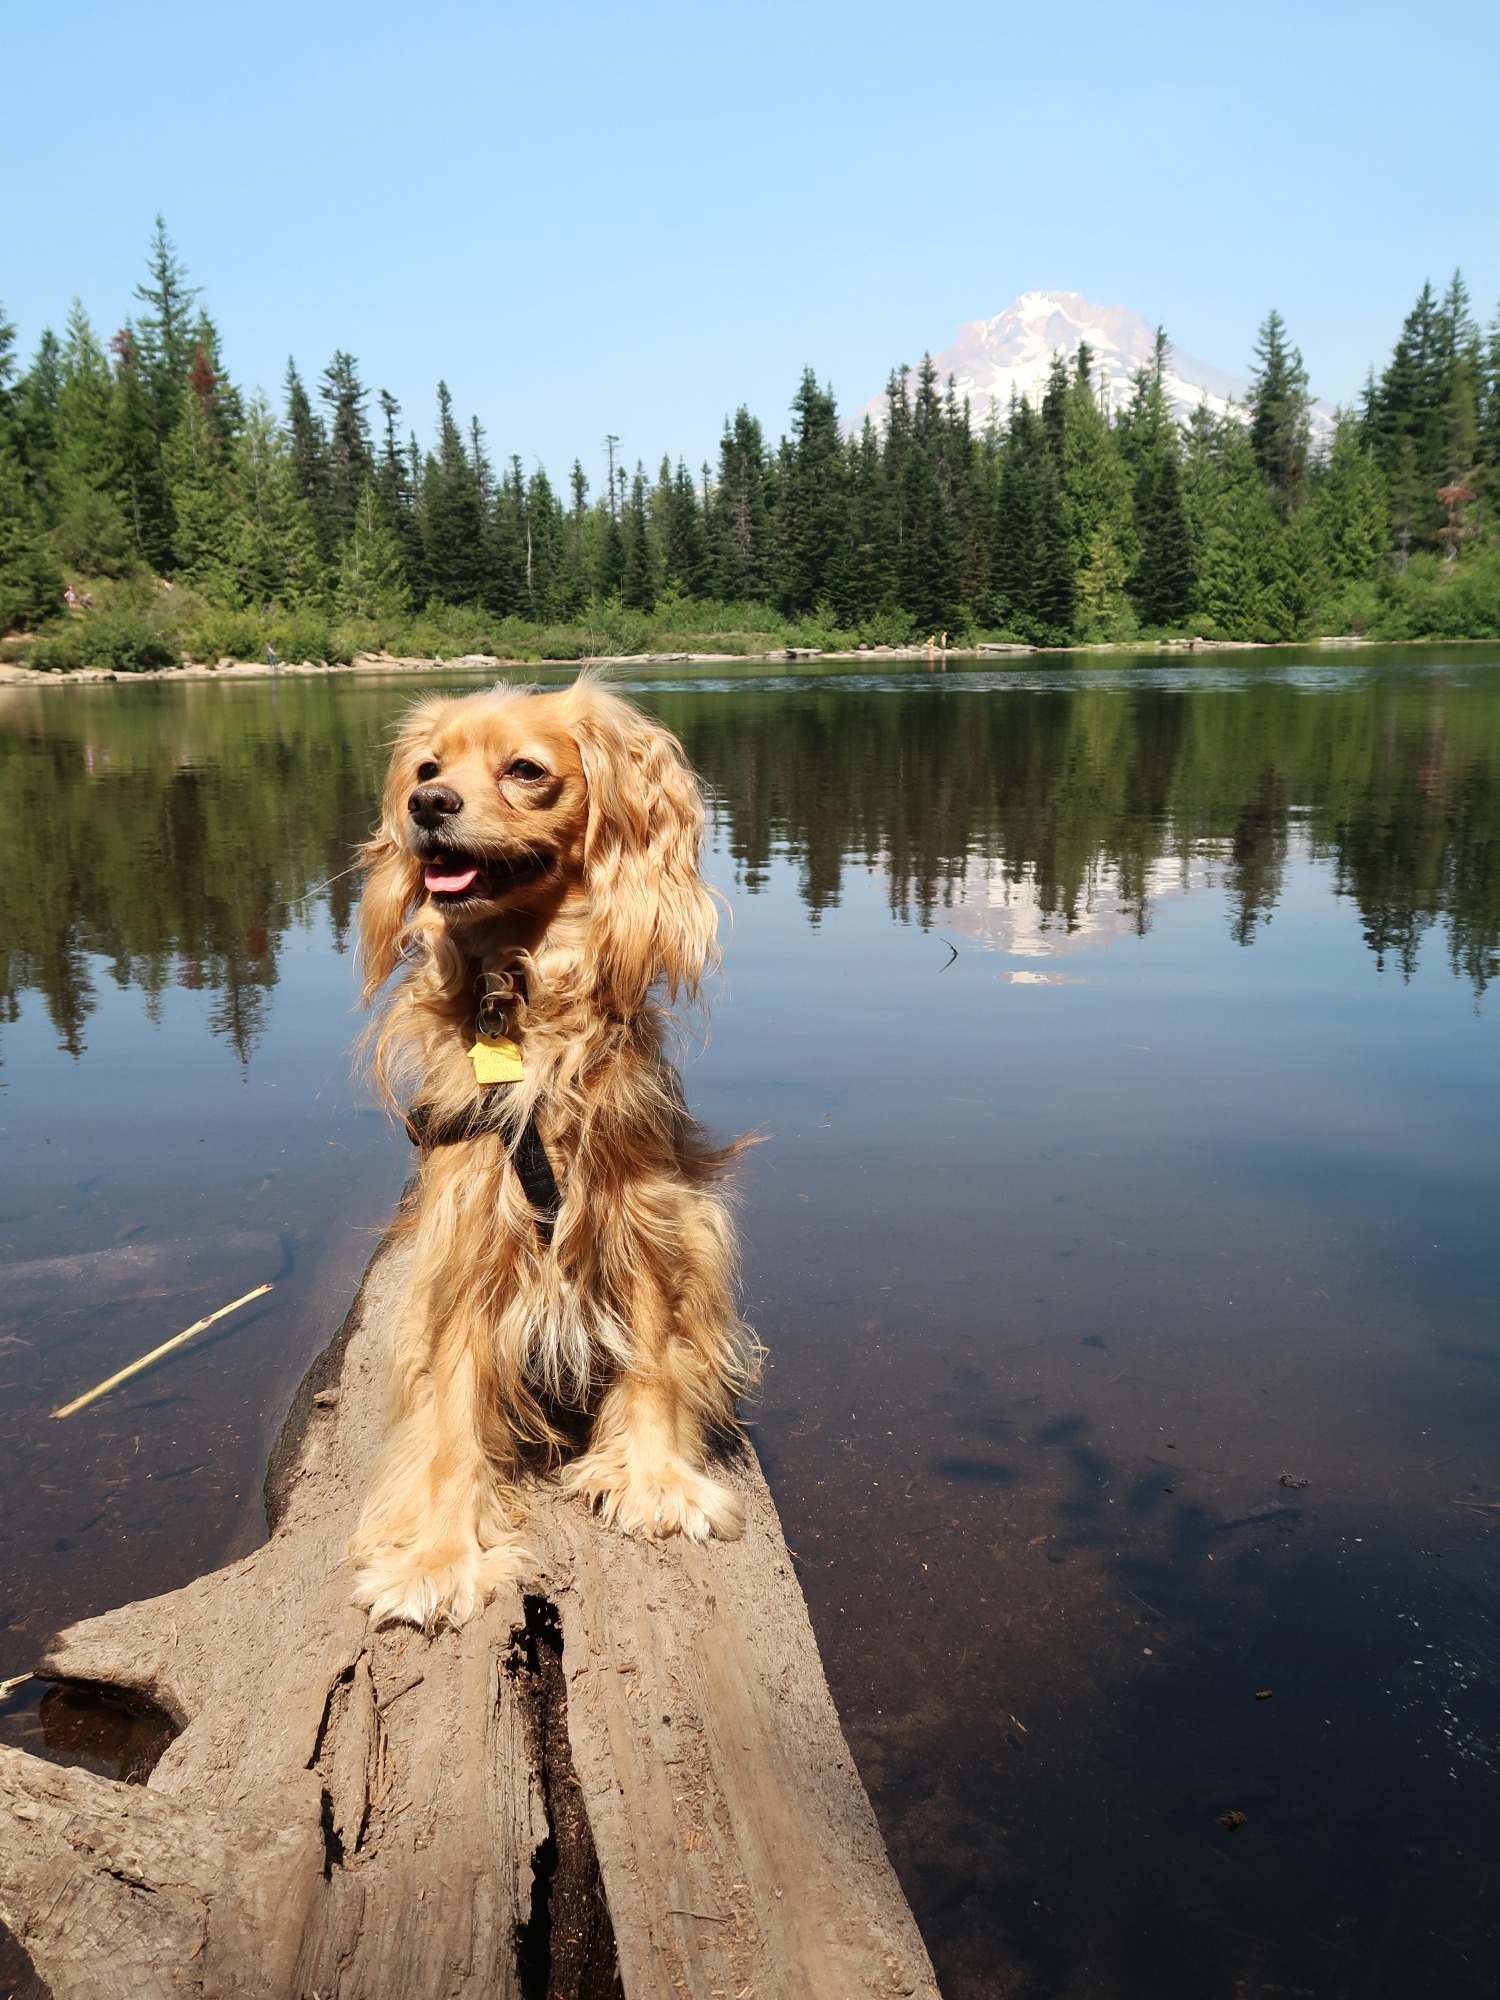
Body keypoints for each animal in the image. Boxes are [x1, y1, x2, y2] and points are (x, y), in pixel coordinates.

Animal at [346, 680, 756, 1632]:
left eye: (526, 771)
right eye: (426, 769)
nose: (427, 806)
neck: (524, 990)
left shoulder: (645, 1212)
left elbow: (653, 1352)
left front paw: (654, 1480)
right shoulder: (465, 1235)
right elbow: (454, 1410)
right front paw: (441, 1557)